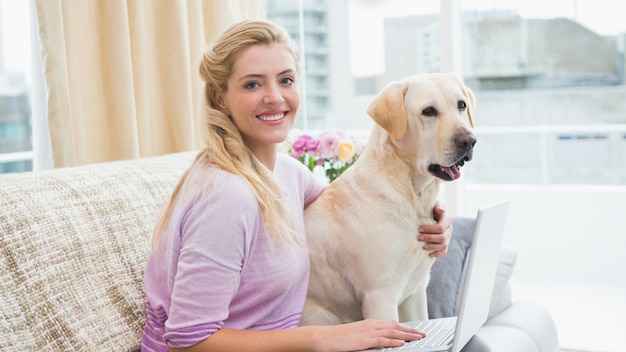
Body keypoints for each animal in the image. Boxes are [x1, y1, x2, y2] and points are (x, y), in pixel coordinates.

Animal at [300, 73, 476, 326]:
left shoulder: (416, 291)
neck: (410, 195)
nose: (469, 141)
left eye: (461, 105)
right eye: (428, 111)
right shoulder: (380, 297)